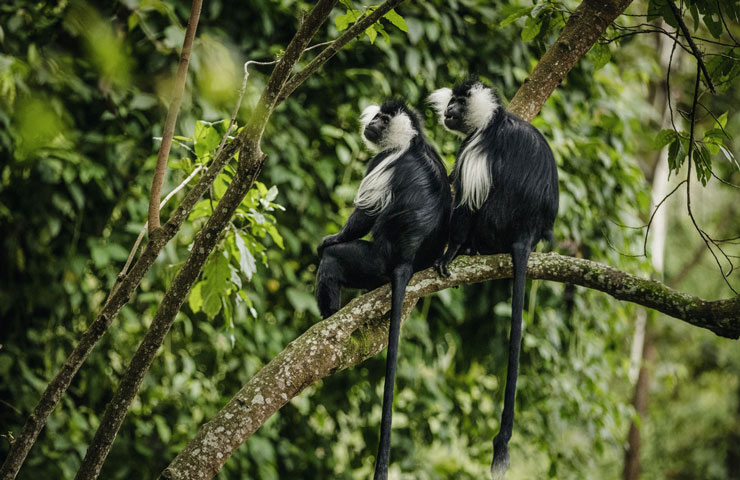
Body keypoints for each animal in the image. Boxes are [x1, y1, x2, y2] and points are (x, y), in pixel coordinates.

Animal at [314, 99, 450, 478]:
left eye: (383, 119)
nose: (372, 122)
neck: (412, 141)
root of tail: (405, 259)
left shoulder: (382, 163)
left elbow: (363, 215)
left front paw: (331, 238)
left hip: (371, 262)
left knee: (334, 262)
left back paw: (328, 316)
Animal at [424, 80, 556, 478]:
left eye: (458, 102)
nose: (448, 110)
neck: (493, 120)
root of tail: (526, 233)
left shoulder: (476, 148)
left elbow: (466, 202)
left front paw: (449, 253)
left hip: (494, 224)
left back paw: (467, 249)